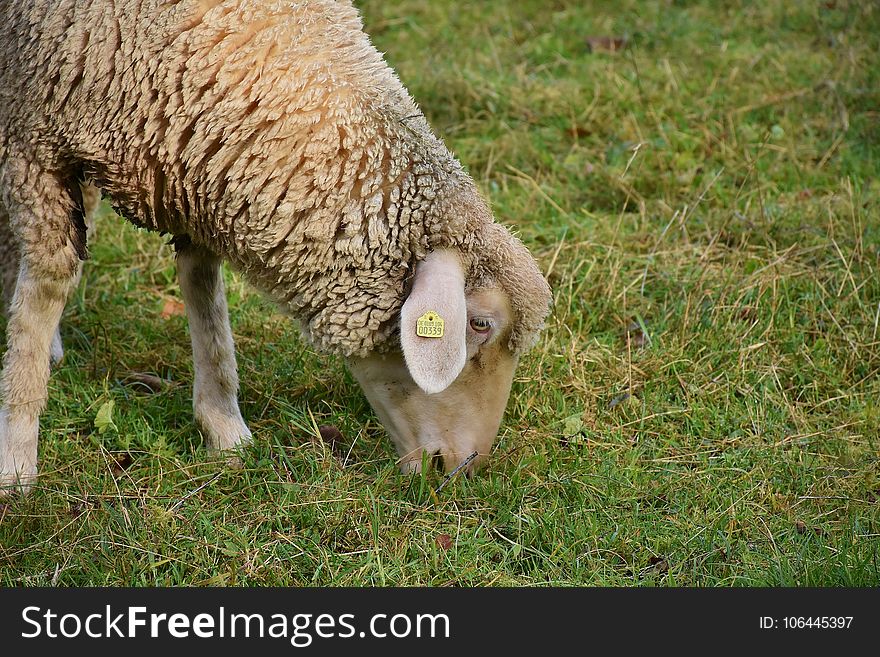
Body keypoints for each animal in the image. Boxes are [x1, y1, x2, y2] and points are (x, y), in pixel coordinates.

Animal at [0, 0, 552, 492]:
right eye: (479, 324)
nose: (462, 468)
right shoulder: (34, 136)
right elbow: (47, 285)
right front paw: (17, 459)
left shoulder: (193, 163)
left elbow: (203, 291)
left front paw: (224, 427)